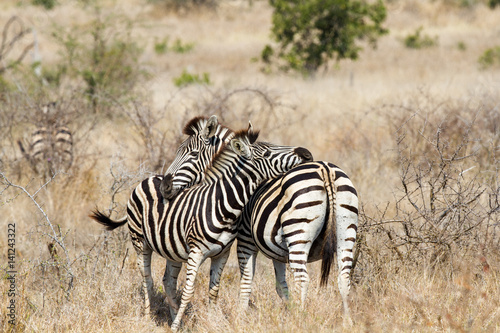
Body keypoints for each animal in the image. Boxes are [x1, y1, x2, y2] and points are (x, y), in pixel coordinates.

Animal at [89, 126, 308, 330]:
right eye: (267, 153)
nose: (305, 153)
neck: (223, 205)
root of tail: (148, 178)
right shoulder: (195, 253)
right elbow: (188, 292)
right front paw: (175, 327)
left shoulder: (222, 254)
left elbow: (214, 290)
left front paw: (211, 323)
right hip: (140, 243)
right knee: (147, 280)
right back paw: (147, 318)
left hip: (172, 249)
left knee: (168, 282)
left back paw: (174, 316)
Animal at [162, 126, 358, 324]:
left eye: (192, 154)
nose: (165, 186)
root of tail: (325, 170)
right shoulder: (278, 251)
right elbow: (281, 286)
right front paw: (287, 312)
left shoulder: (245, 240)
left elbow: (246, 281)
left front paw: (240, 318)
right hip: (345, 232)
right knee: (343, 279)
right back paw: (347, 323)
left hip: (298, 235)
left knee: (303, 279)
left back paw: (300, 321)